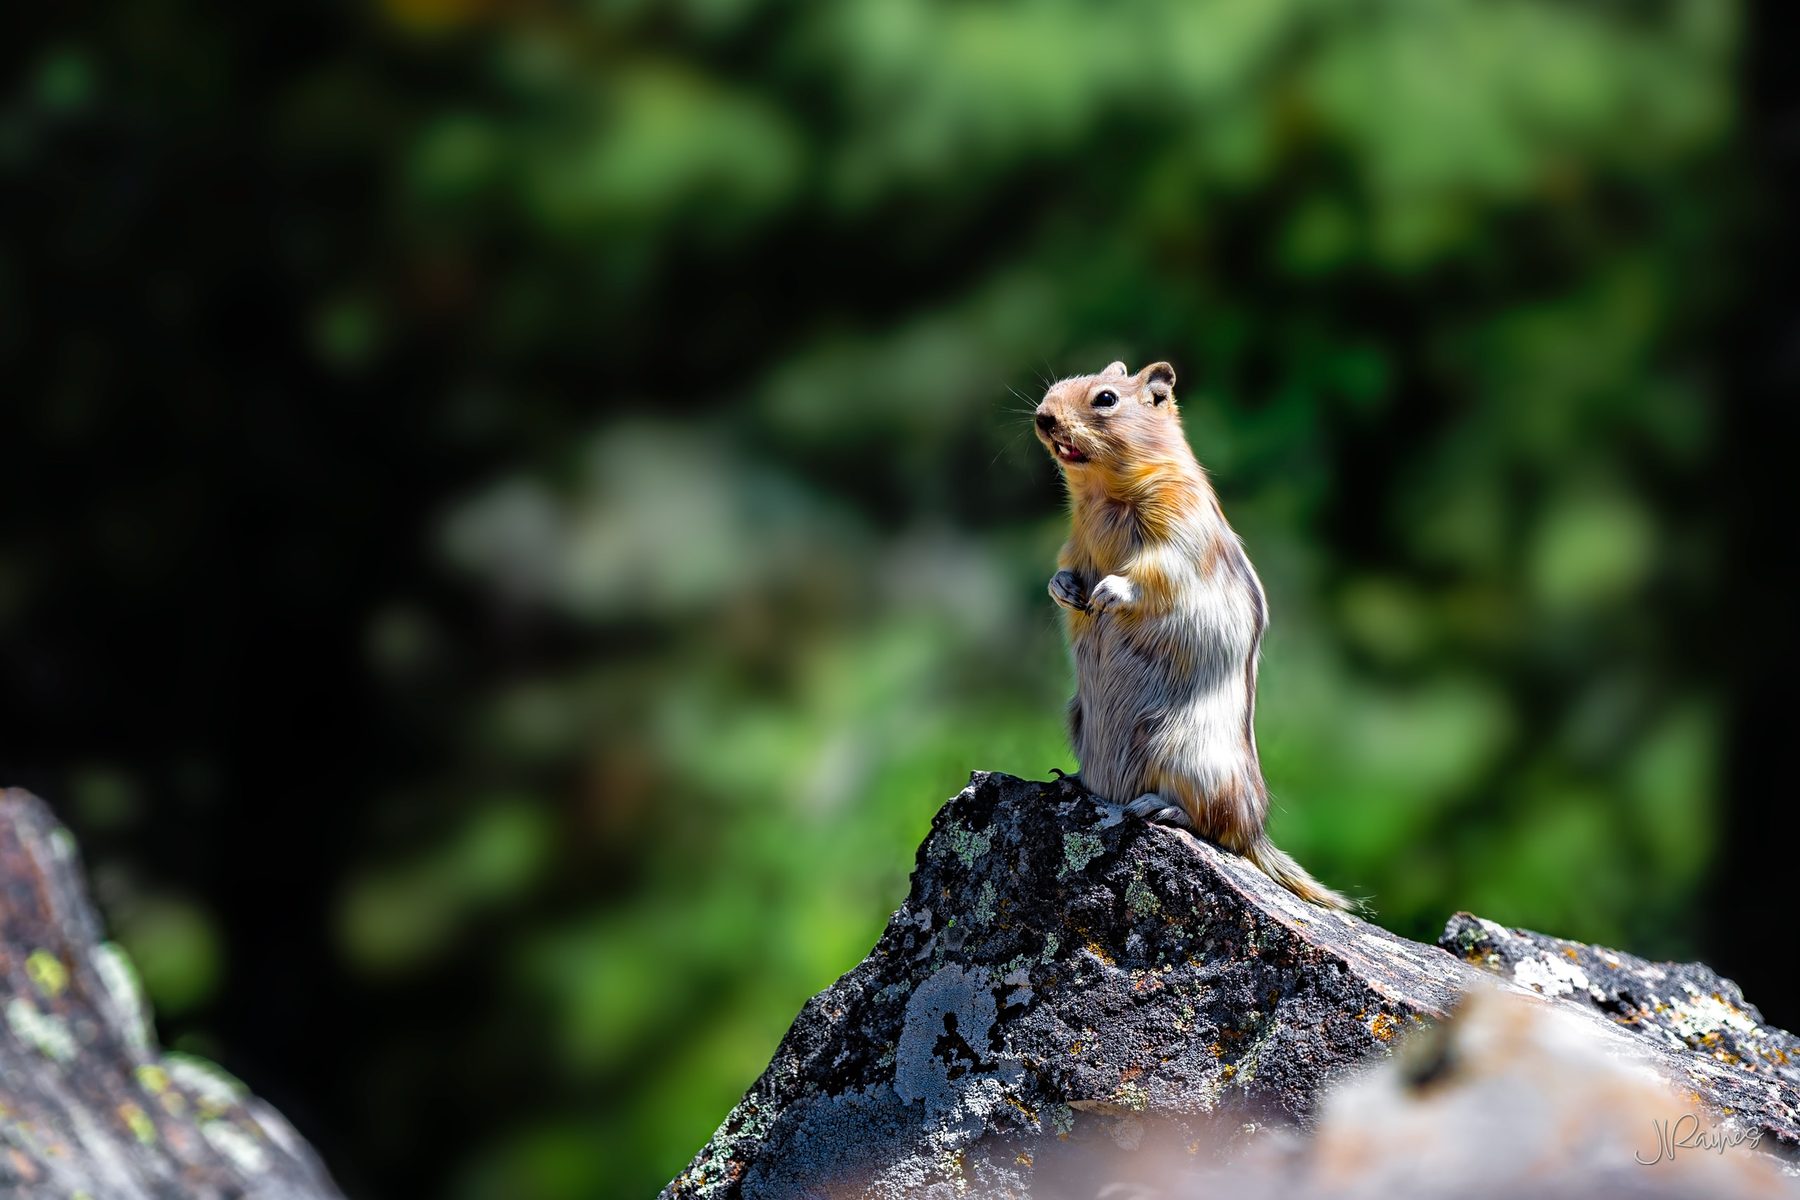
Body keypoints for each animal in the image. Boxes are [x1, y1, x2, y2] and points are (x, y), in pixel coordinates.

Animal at [1034, 359, 1353, 911]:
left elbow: (1155, 573)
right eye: (1055, 389)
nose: (1042, 417)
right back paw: (1072, 781)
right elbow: (1064, 566)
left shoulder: (1179, 530)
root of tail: (1257, 831)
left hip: (1191, 756)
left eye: (1106, 398)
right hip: (1078, 719)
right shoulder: (1073, 542)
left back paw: (1158, 809)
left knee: (1217, 826)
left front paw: (1107, 593)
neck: (1101, 495)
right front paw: (1066, 591)